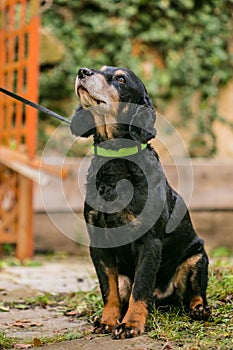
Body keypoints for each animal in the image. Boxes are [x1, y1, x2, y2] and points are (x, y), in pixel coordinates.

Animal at [70, 66, 210, 340]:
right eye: (102, 70)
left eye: (121, 79)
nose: (82, 71)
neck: (116, 160)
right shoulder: (99, 244)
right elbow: (108, 289)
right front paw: (108, 321)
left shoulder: (150, 243)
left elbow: (142, 287)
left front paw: (131, 324)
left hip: (198, 257)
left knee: (195, 293)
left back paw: (200, 310)